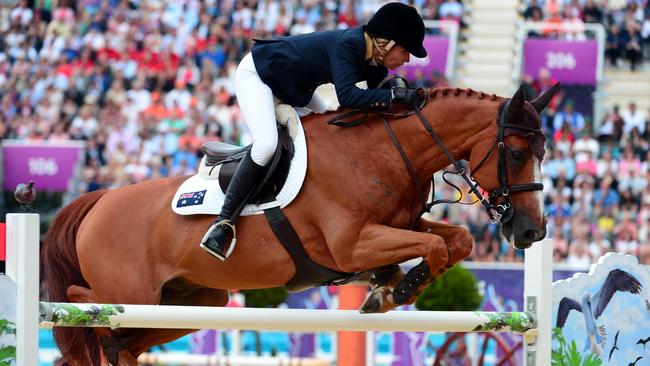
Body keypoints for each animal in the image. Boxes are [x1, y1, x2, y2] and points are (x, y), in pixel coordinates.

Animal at [43, 84, 556, 364]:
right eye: (515, 153)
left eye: (544, 151)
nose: (532, 232)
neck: (386, 151)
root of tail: (98, 201)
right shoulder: (352, 244)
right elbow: (433, 249)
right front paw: (395, 291)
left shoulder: (402, 226)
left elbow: (457, 241)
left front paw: (386, 285)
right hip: (133, 294)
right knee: (80, 300)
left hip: (192, 301)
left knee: (127, 341)